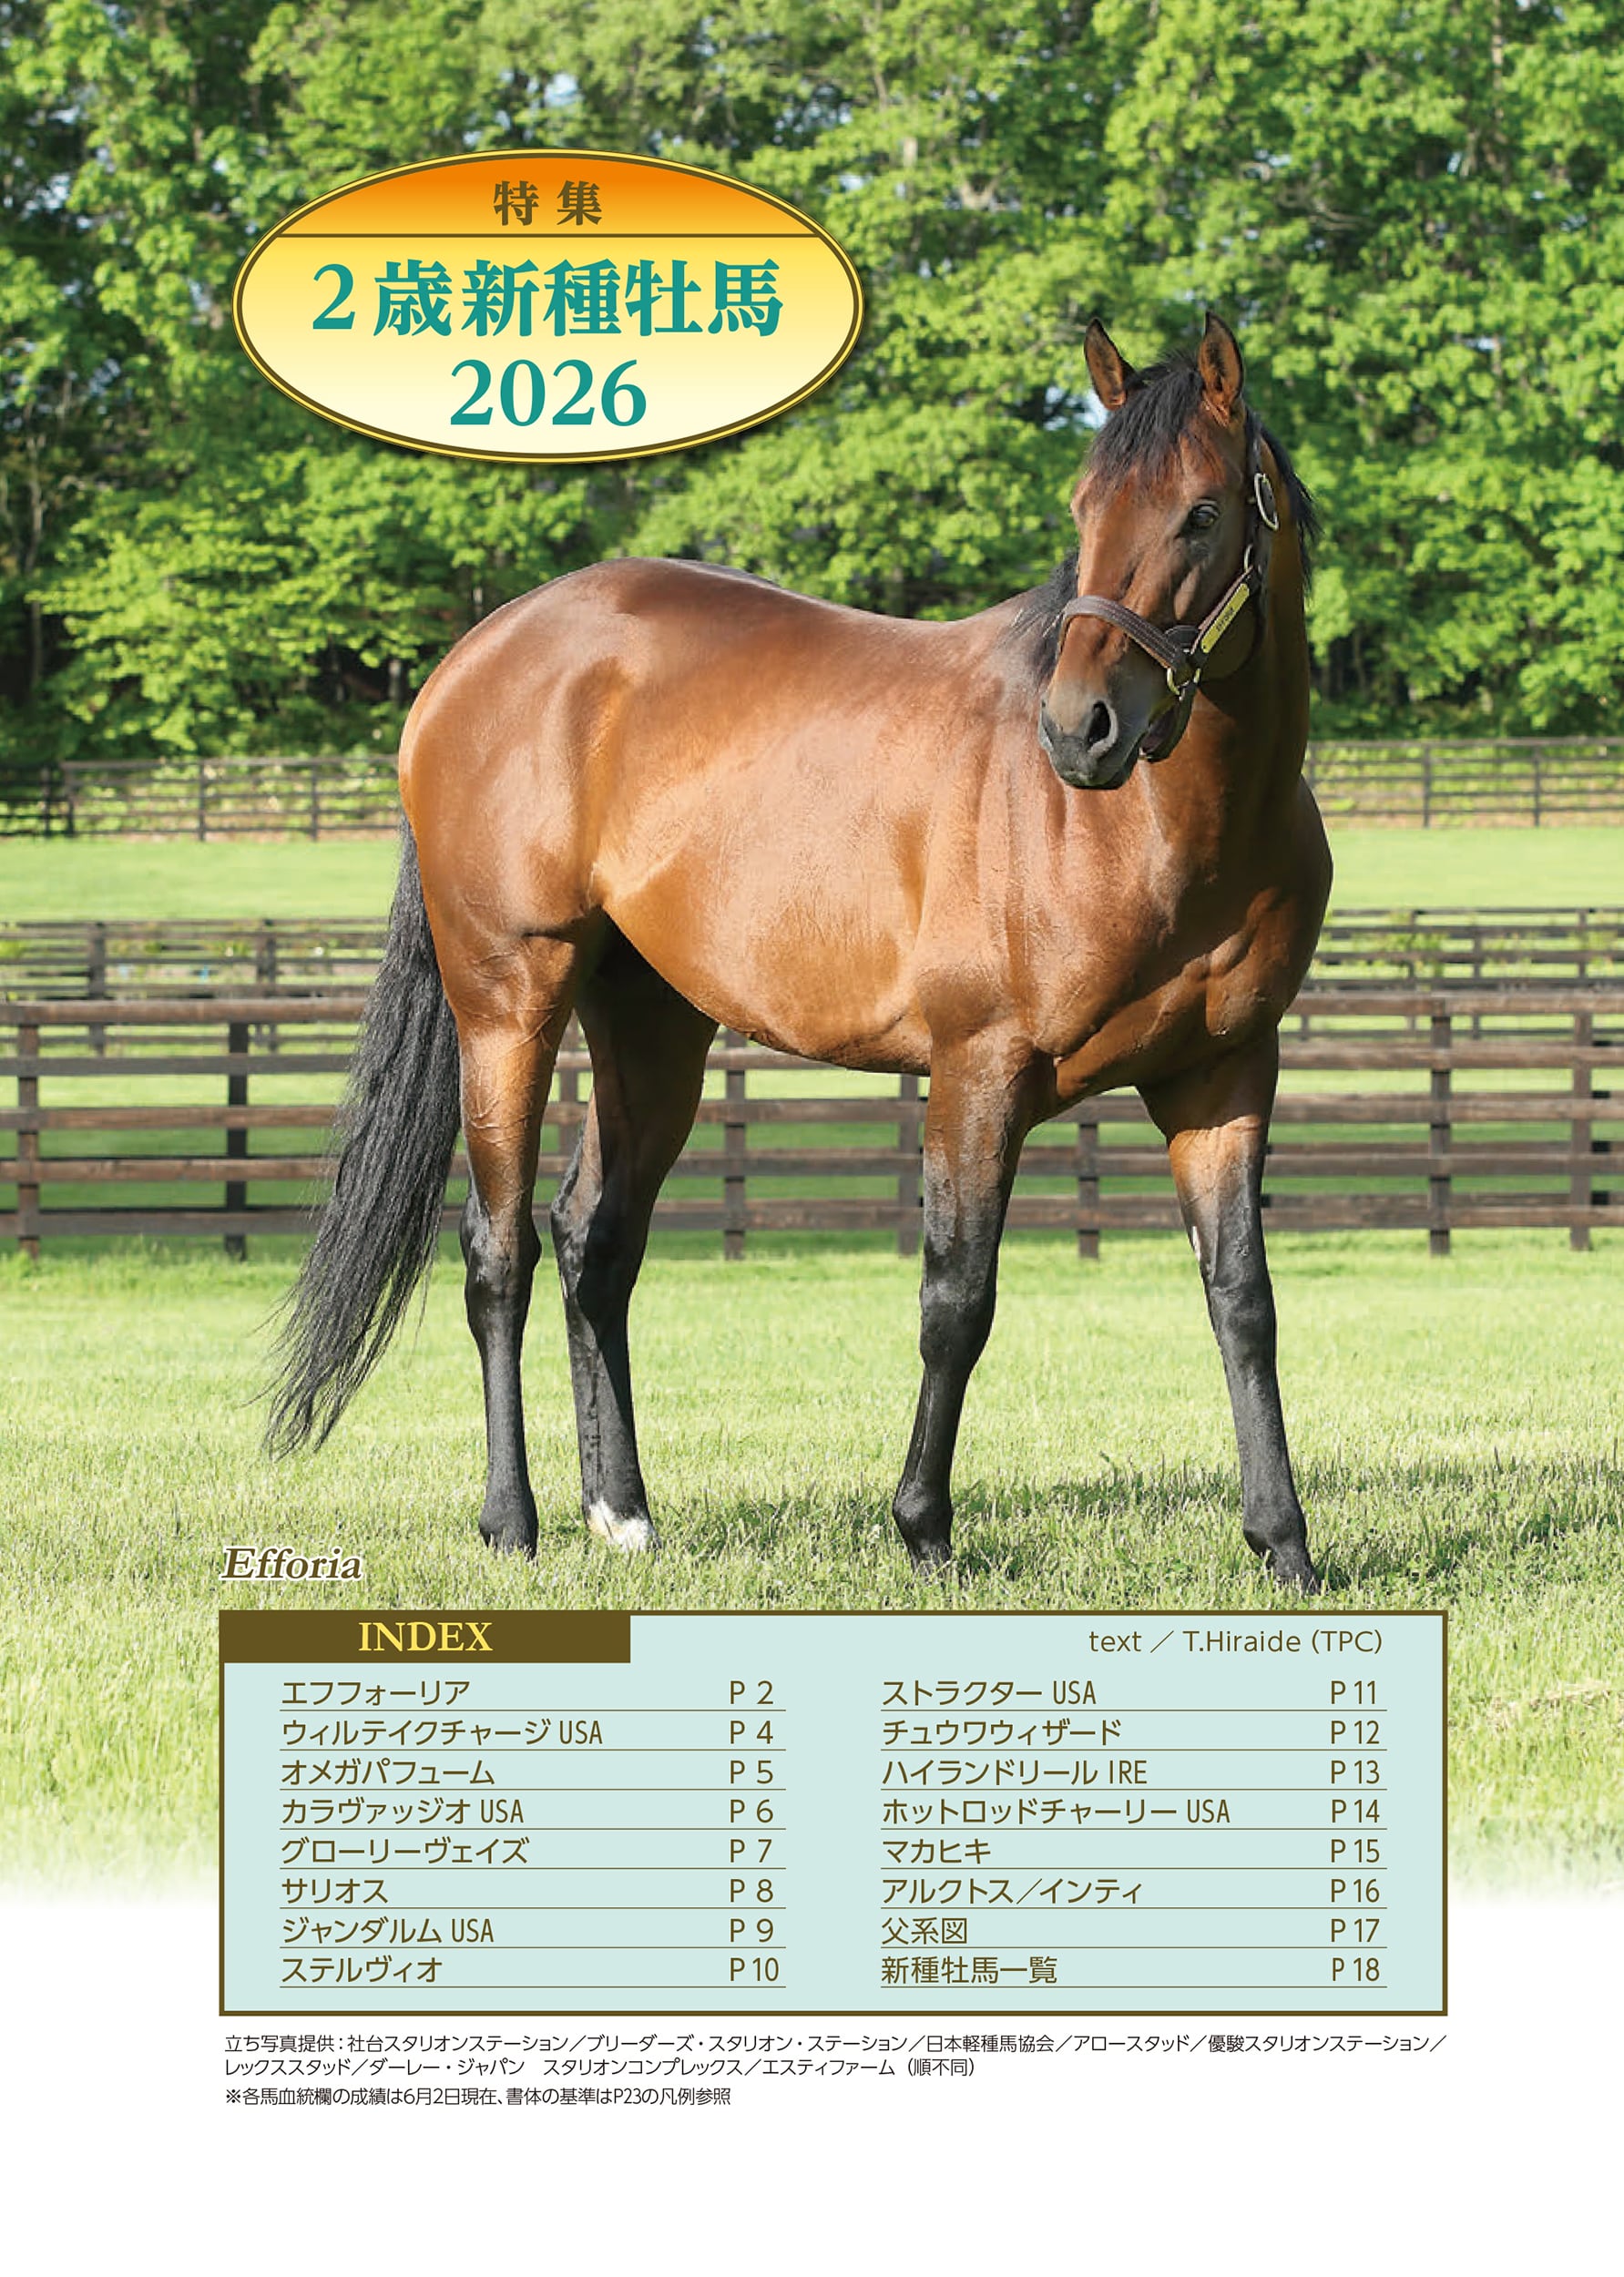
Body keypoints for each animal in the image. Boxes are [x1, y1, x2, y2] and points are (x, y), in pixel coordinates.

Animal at [267, 311, 1331, 1591]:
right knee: (497, 1252)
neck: (1162, 835)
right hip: (507, 1004)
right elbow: (955, 1300)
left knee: (594, 1241)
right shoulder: (979, 1072)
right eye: (1083, 508)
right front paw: (923, 1527)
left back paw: (622, 1512)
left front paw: (1283, 1543)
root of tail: (472, 662)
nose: (1080, 728)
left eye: (1201, 513)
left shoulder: (1222, 1077)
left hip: (653, 1026)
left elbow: (1244, 1302)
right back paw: (510, 1520)